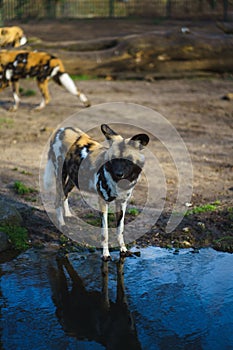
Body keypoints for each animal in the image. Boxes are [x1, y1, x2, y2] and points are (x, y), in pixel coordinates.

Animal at [44, 123, 149, 260]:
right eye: (113, 159)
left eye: (127, 159)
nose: (118, 173)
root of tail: (61, 129)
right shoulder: (103, 202)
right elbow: (105, 233)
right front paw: (105, 254)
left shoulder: (122, 203)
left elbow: (120, 230)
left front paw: (123, 250)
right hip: (60, 176)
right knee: (57, 199)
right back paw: (62, 225)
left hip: (73, 178)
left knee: (64, 195)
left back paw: (67, 214)